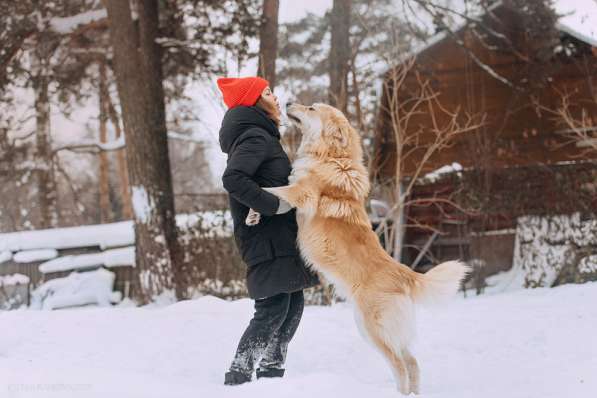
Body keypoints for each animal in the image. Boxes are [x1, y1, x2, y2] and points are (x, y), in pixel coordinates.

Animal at [246, 102, 466, 394]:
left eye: (312, 107)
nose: (289, 103)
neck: (329, 156)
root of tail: (404, 274)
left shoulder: (300, 193)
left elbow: (272, 189)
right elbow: (270, 194)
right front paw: (254, 215)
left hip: (372, 329)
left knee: (400, 365)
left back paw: (398, 393)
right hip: (380, 330)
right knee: (413, 362)